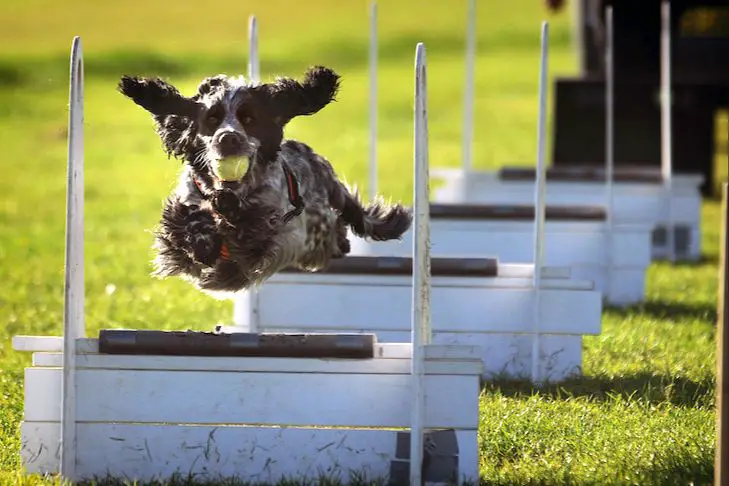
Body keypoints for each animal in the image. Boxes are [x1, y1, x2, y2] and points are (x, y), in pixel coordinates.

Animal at [121, 66, 416, 294]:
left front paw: (229, 218)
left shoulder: (277, 231)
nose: (228, 139)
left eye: (249, 119)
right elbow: (185, 223)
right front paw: (203, 239)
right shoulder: (184, 210)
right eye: (212, 119)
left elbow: (252, 231)